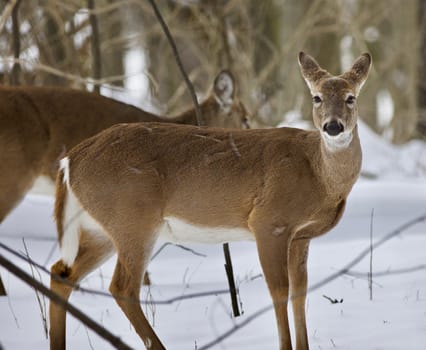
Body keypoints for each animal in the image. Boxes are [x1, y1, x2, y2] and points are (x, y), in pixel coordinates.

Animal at [49, 52, 370, 350]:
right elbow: (279, 290)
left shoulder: (301, 235)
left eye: (351, 98)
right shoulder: (269, 222)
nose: (332, 127)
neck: (318, 174)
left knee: (61, 273)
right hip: (132, 218)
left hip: (101, 228)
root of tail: (70, 160)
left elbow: (300, 292)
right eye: (316, 97)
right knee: (123, 287)